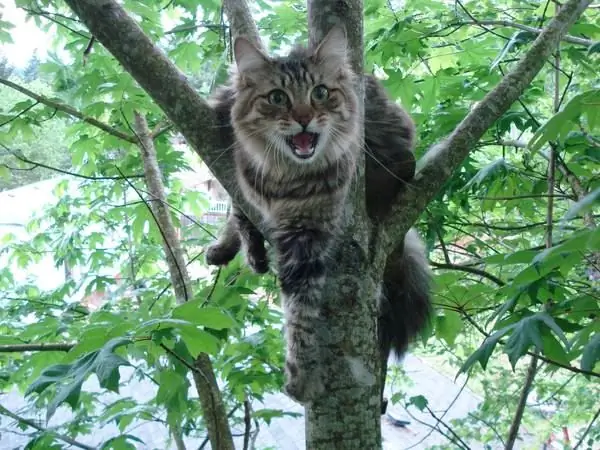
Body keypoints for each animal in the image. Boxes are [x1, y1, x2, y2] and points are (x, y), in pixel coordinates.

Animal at [205, 26, 432, 408]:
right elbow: (238, 207)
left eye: (320, 94)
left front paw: (302, 375)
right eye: (277, 98)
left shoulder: (308, 233)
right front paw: (244, 243)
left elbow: (300, 314)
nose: (303, 117)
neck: (286, 177)